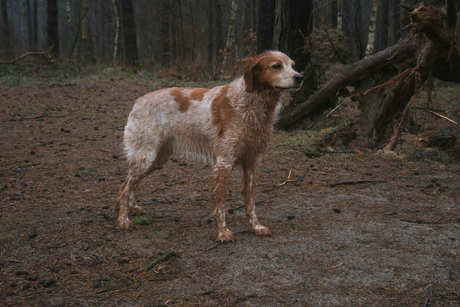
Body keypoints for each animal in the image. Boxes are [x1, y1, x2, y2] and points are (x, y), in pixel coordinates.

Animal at [115, 50, 302, 243]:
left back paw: (133, 208)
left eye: (293, 65)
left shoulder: (253, 161)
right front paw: (223, 232)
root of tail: (138, 100)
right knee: (123, 187)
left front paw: (256, 226)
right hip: (147, 156)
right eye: (276, 66)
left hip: (156, 159)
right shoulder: (224, 162)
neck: (252, 104)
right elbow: (221, 203)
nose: (300, 77)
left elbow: (250, 200)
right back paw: (124, 220)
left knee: (133, 183)